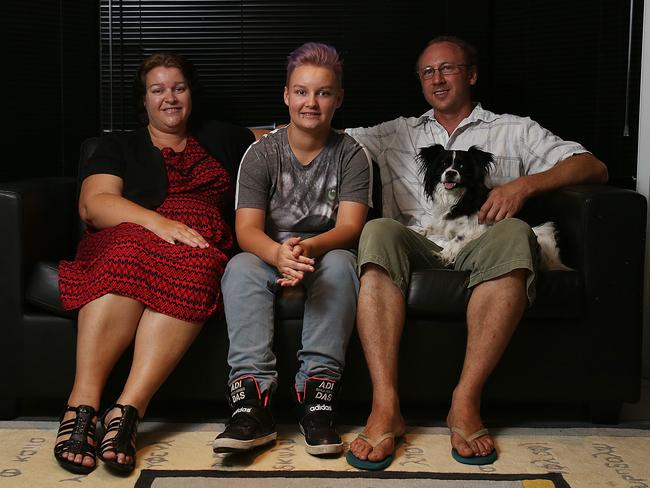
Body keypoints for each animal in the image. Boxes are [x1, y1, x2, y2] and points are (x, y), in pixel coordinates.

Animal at [418, 145, 564, 270]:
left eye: (462, 166)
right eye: (443, 164)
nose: (450, 173)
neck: (456, 197)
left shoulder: (477, 227)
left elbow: (457, 239)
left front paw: (443, 255)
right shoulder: (443, 224)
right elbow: (428, 228)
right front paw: (418, 231)